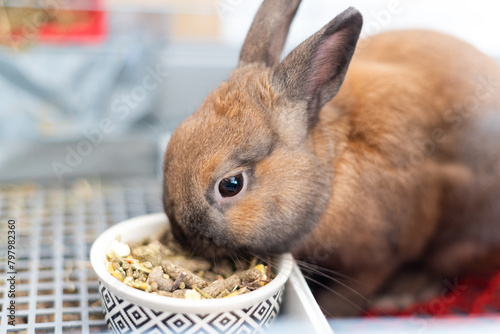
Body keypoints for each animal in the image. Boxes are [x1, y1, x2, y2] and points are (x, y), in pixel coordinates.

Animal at [163, 0, 500, 316]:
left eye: (231, 185)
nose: (182, 238)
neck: (332, 178)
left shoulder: (379, 258)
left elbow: (359, 289)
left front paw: (330, 310)